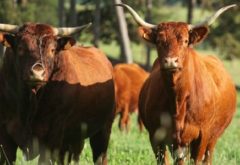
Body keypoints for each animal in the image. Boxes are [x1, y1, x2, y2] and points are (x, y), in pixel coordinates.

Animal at [0, 22, 115, 165]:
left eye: (52, 50)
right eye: (21, 48)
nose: (37, 72)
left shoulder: (52, 137)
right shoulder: (5, 136)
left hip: (104, 130)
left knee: (100, 156)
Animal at [116, 2, 238, 165]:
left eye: (185, 41)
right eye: (159, 41)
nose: (170, 61)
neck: (178, 100)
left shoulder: (202, 136)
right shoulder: (156, 137)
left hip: (212, 139)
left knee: (208, 157)